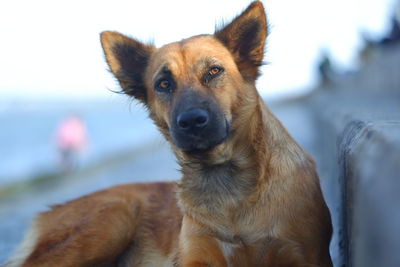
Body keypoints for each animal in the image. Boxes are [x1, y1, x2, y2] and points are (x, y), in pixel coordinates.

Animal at [6, 2, 332, 267]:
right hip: (113, 218)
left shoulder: (303, 253)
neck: (227, 188)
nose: (191, 122)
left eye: (214, 71)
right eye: (163, 84)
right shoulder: (195, 255)